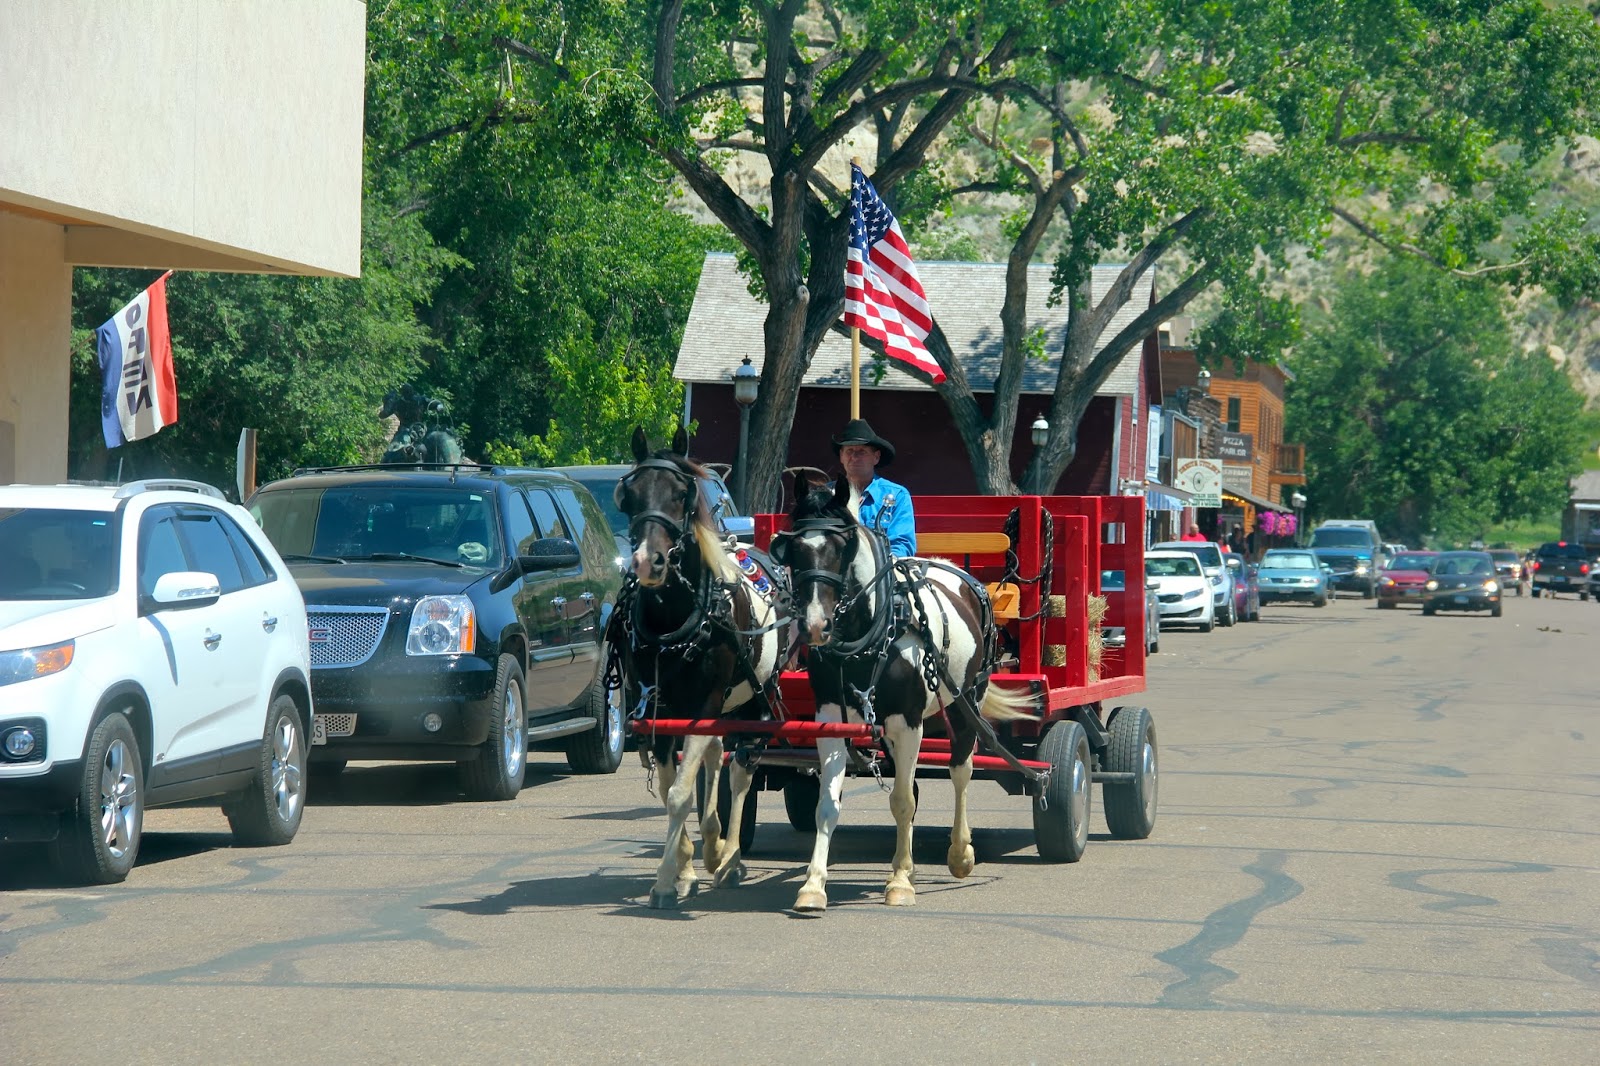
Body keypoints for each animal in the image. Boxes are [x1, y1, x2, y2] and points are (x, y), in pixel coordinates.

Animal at [612, 426, 791, 909]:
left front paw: (665, 880)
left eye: (682, 494)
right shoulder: (659, 707)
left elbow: (679, 793)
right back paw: (710, 846)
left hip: (755, 698)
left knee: (741, 769)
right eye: (629, 494)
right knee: (715, 757)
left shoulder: (702, 704)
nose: (647, 562)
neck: (677, 616)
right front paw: (684, 867)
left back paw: (729, 859)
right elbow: (675, 789)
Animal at [767, 477, 1035, 911]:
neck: (872, 631)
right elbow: (830, 803)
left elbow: (903, 802)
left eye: (841, 547)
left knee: (960, 770)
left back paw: (959, 853)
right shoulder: (830, 719)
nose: (815, 625)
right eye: (793, 549)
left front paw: (899, 881)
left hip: (966, 701)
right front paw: (813, 885)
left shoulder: (908, 722)